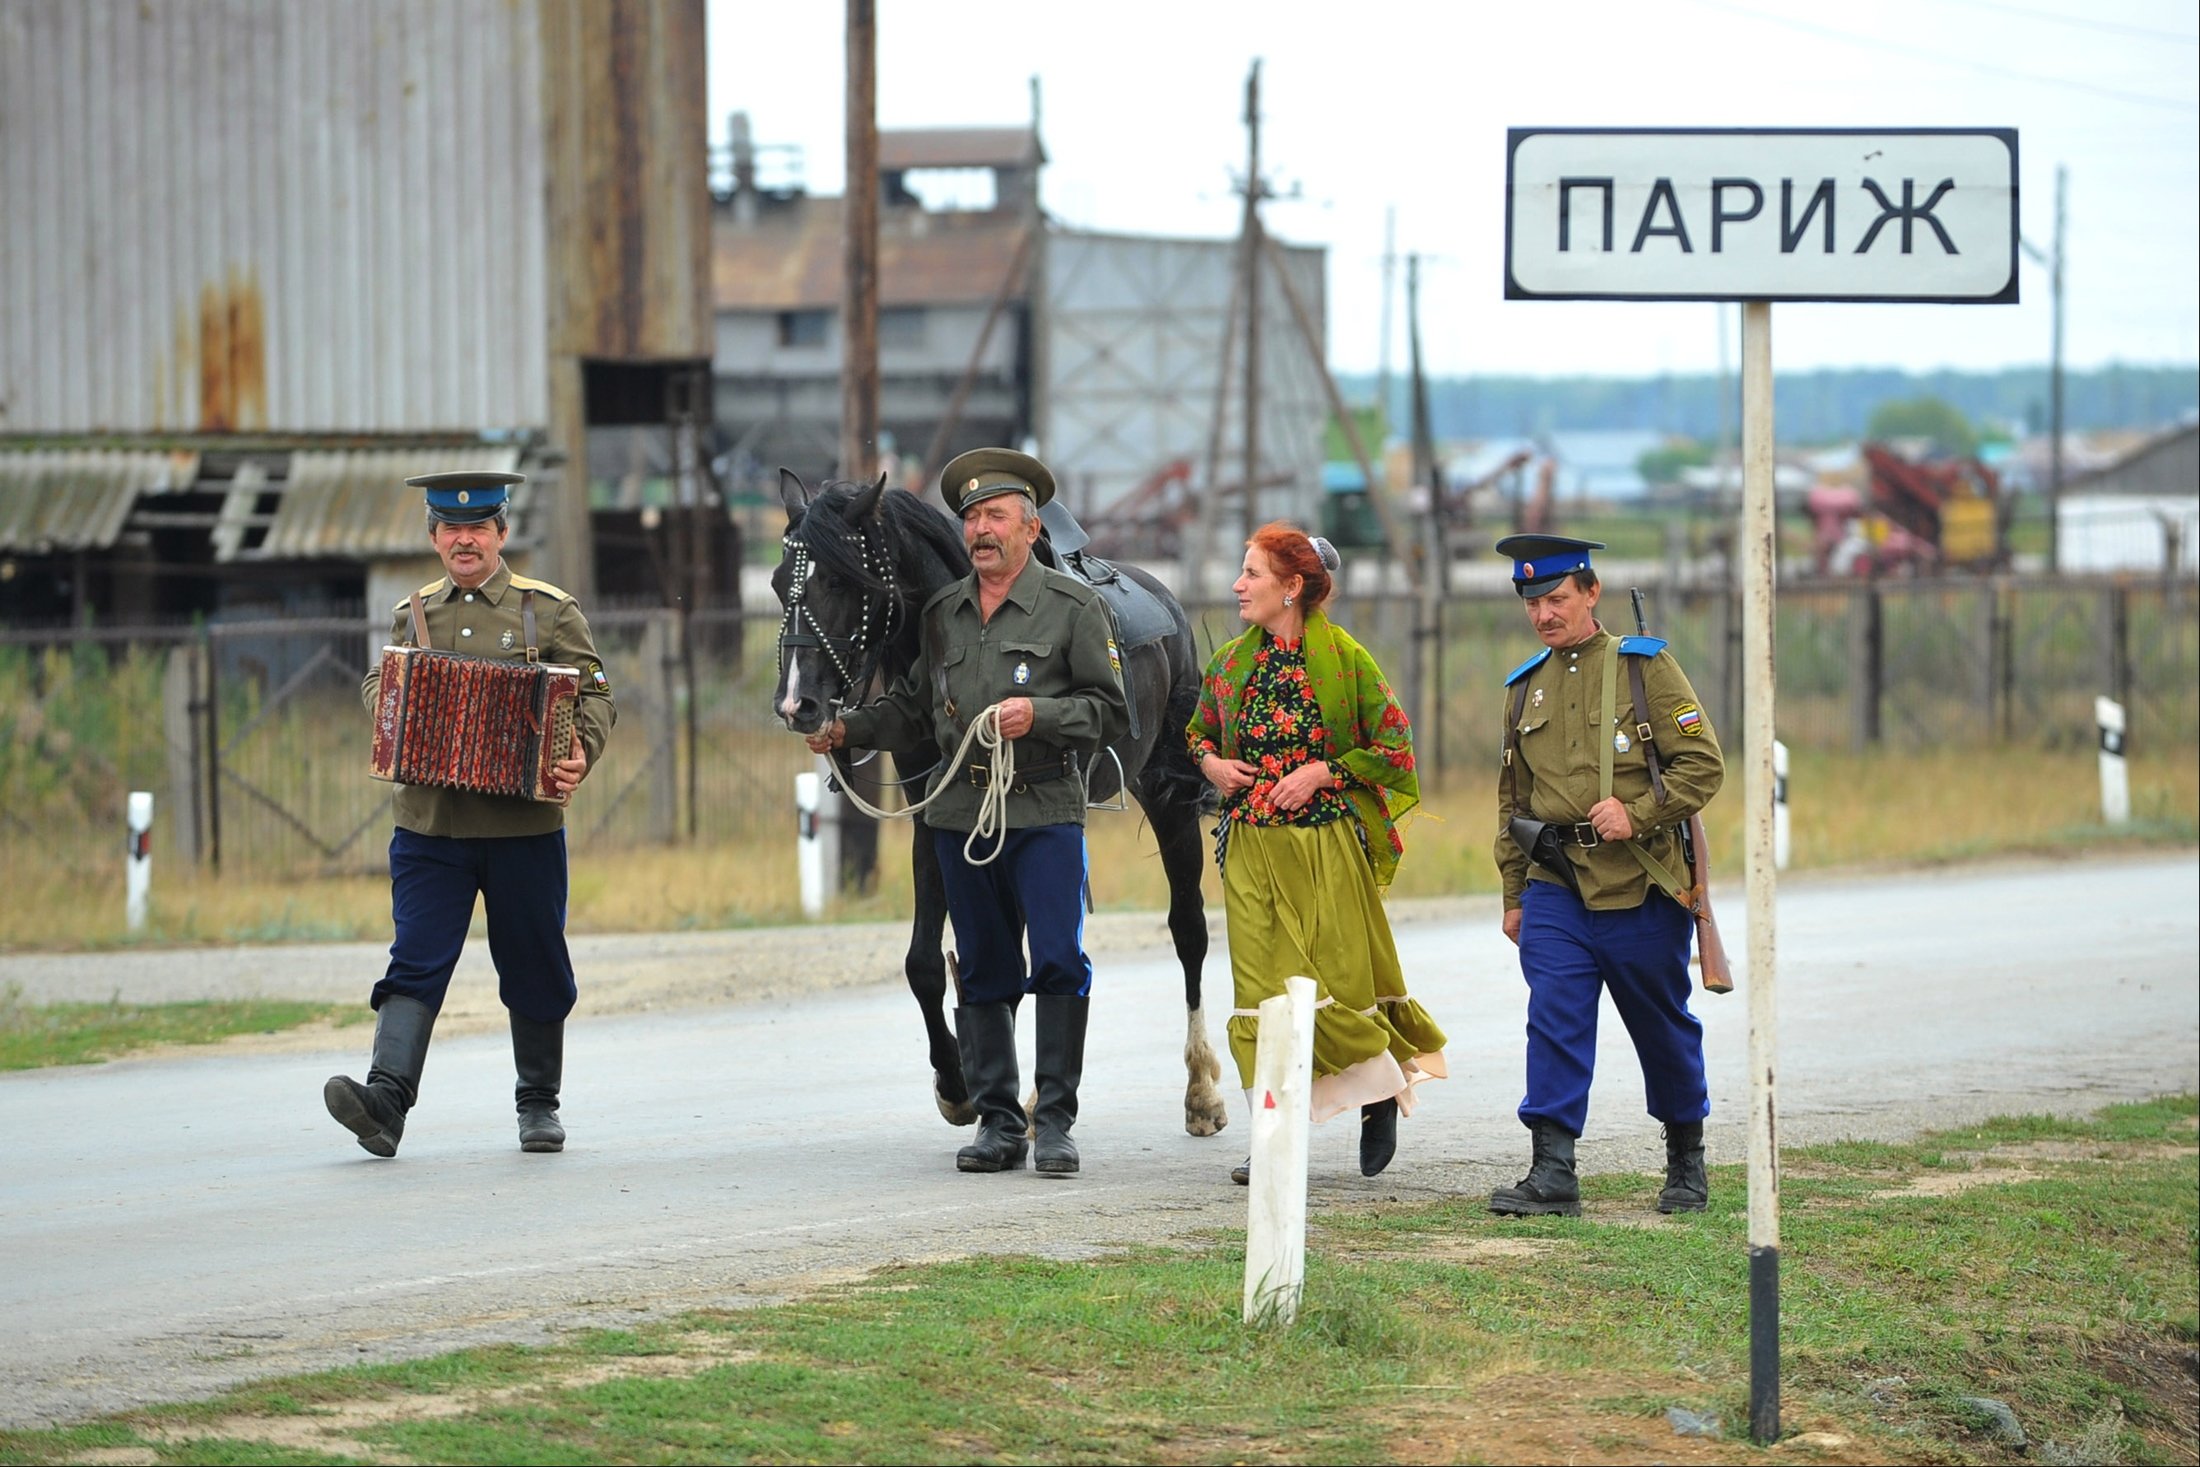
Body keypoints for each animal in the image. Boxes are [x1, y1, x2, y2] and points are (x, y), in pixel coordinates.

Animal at [774, 470, 1232, 1134]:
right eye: (779, 582)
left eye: (839, 580)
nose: (796, 704)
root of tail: (1166, 604)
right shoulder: (936, 820)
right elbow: (929, 962)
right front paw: (960, 1083)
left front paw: (999, 1092)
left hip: (1165, 798)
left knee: (1187, 930)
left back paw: (1200, 1091)